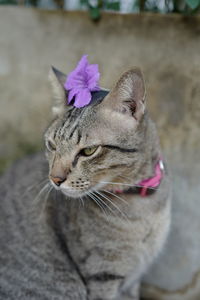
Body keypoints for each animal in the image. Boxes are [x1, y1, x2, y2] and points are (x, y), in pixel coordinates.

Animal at [0, 66, 170, 300]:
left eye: (89, 151)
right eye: (52, 145)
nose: (55, 179)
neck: (144, 206)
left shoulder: (132, 281)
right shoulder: (103, 276)